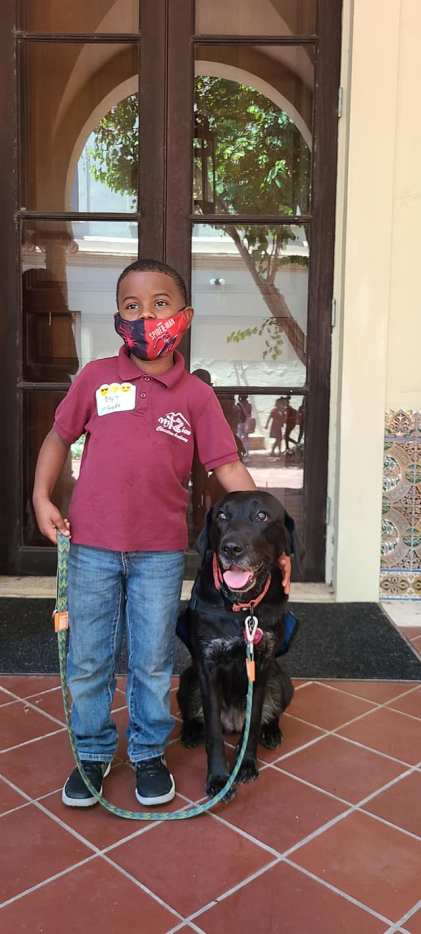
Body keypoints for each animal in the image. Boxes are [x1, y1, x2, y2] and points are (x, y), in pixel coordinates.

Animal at [176, 490, 296, 796]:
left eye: (262, 515)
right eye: (221, 515)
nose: (231, 548)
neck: (243, 607)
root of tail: (232, 721)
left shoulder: (261, 667)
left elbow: (252, 724)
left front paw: (246, 765)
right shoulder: (207, 667)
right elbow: (214, 734)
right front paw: (219, 778)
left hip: (283, 682)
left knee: (267, 715)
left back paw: (272, 731)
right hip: (187, 680)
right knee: (195, 717)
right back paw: (191, 732)